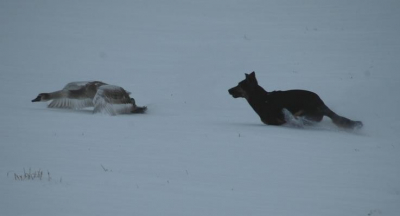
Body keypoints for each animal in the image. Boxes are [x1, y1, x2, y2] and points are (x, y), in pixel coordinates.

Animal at [228, 71, 362, 129]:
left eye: (239, 85)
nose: (228, 90)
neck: (262, 99)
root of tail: (321, 103)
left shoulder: (277, 123)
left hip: (303, 112)